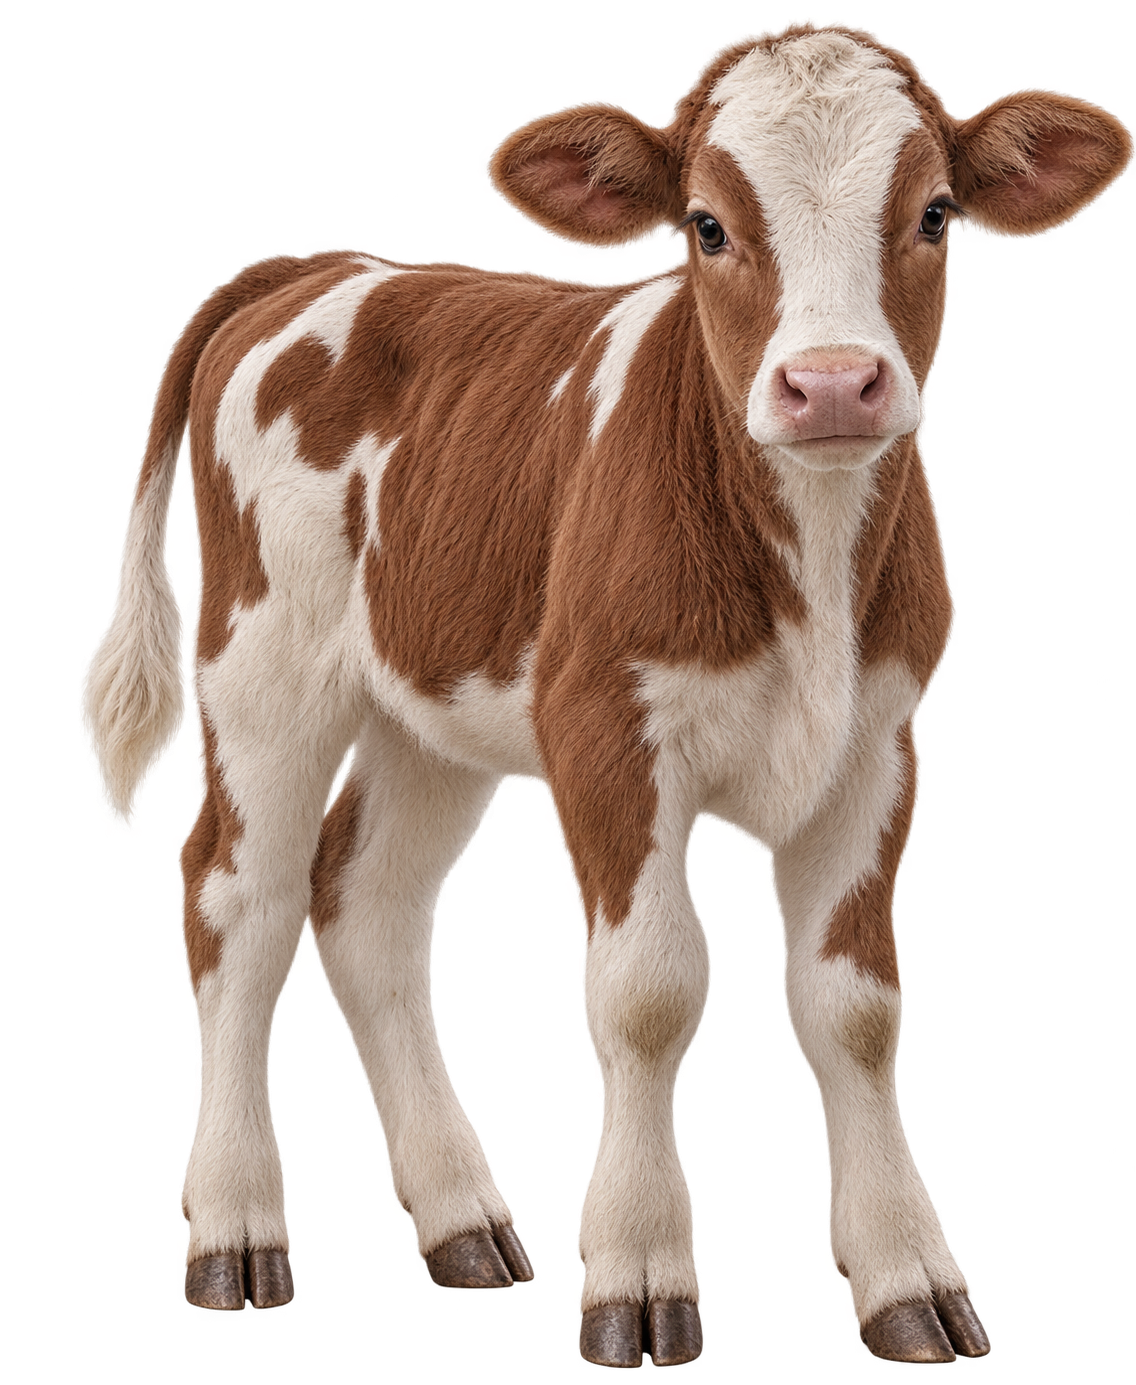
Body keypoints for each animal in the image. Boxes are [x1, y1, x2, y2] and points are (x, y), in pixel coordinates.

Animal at [76, 17, 1133, 1367]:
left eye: (935, 213)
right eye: (705, 227)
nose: (831, 382)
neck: (803, 567)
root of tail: (327, 267)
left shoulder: (880, 742)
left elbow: (851, 1004)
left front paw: (907, 1278)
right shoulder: (602, 728)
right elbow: (646, 986)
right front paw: (636, 1275)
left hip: (433, 708)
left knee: (365, 908)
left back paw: (463, 1221)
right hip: (270, 671)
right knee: (236, 903)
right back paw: (233, 1232)